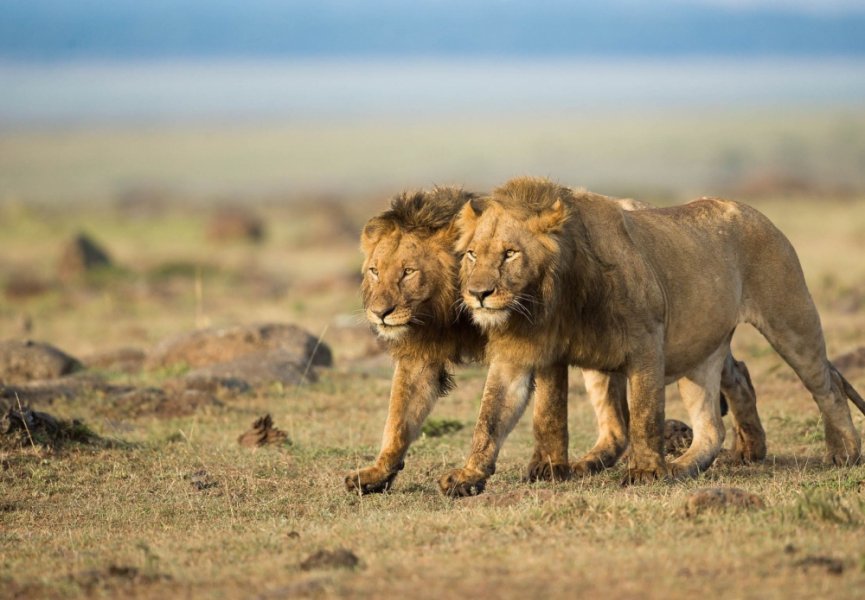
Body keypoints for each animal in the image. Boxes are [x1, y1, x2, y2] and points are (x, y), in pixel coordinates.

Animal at [344, 185, 764, 494]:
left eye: (408, 272)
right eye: (375, 271)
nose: (379, 313)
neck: (454, 312)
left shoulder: (541, 341)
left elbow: (542, 410)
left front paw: (546, 468)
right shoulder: (424, 356)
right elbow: (400, 417)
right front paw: (377, 473)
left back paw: (747, 448)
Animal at [442, 175, 860, 492]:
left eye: (510, 253)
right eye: (472, 254)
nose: (477, 294)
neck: (547, 301)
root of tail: (752, 210)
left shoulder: (646, 343)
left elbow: (644, 412)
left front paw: (644, 471)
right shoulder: (523, 354)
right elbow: (502, 416)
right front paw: (473, 476)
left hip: (790, 319)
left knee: (826, 385)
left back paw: (845, 452)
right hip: (697, 350)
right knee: (711, 424)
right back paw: (697, 461)